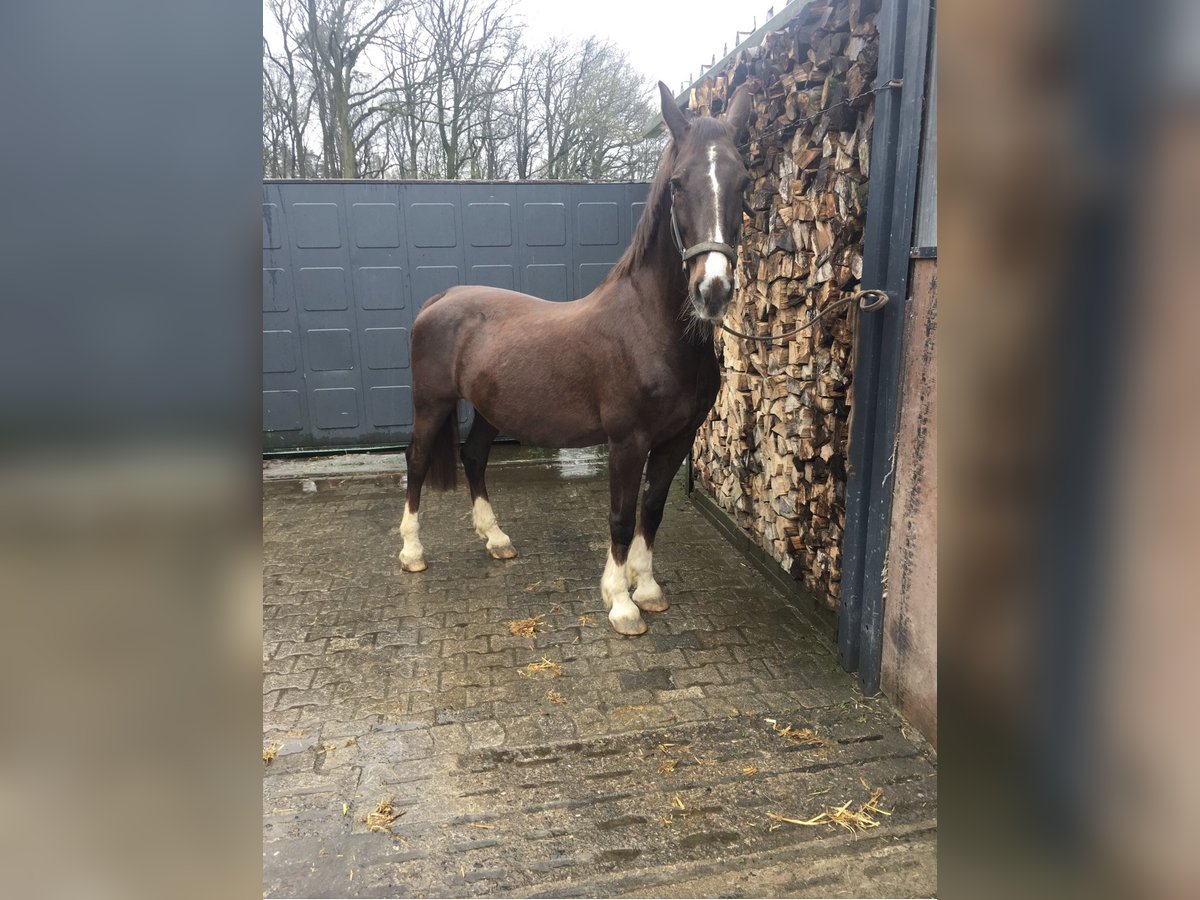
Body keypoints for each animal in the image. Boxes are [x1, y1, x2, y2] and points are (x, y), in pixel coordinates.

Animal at [396, 81, 748, 638]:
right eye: (677, 184)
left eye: (744, 182)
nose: (712, 291)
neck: (652, 329)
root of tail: (441, 298)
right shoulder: (628, 440)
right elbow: (621, 516)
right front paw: (620, 602)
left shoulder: (677, 440)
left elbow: (653, 510)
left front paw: (648, 589)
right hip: (431, 403)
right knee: (414, 461)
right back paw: (412, 551)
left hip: (491, 409)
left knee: (473, 457)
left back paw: (496, 540)